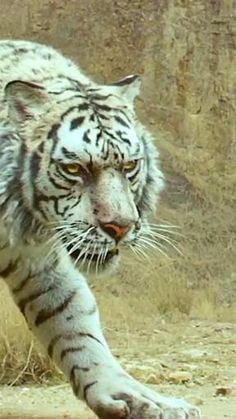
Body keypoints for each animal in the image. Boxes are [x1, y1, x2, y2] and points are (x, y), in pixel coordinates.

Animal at [0, 40, 200, 419]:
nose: (119, 227)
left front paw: (136, 398)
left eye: (129, 165)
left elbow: (71, 317)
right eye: (74, 169)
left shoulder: (37, 258)